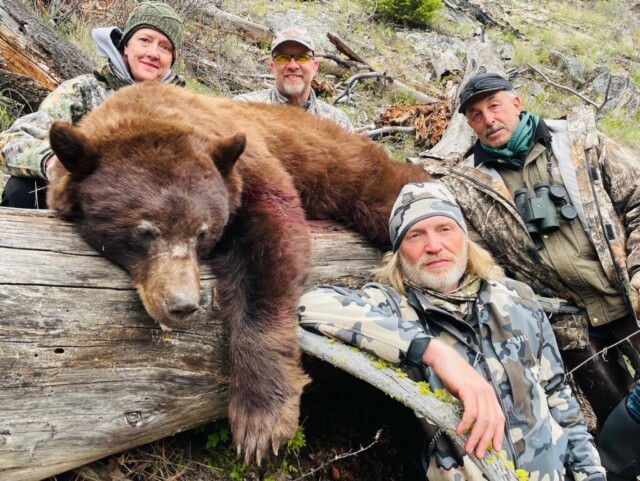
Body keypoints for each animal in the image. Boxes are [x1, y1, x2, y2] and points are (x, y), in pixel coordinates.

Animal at [46, 82, 430, 464]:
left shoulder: (248, 169)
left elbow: (272, 247)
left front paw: (261, 421)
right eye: (145, 231)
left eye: (202, 232)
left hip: (349, 170)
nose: (182, 305)